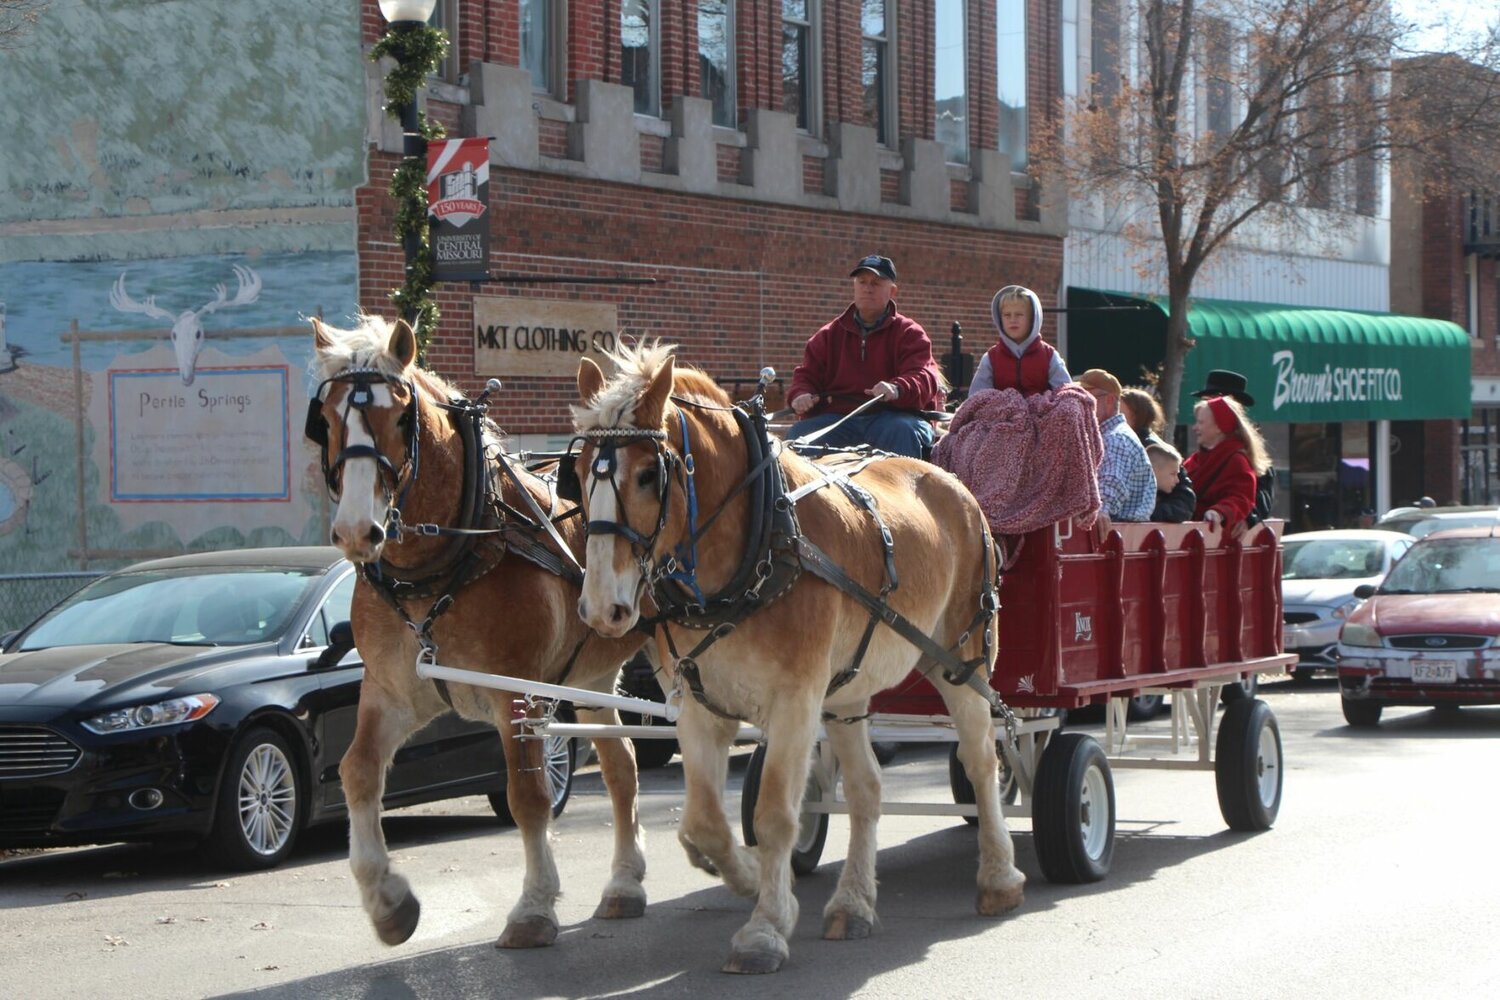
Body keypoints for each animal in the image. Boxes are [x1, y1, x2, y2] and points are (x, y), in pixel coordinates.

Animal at [307, 316, 648, 953]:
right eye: (329, 418)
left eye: (400, 418)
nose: (356, 531)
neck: (453, 556)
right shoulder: (391, 690)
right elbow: (357, 771)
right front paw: (387, 901)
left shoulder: (517, 692)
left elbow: (528, 797)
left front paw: (534, 907)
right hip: (593, 675)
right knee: (622, 767)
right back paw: (624, 884)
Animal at [567, 346, 1026, 977]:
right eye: (581, 470)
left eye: (646, 475)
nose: (600, 608)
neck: (758, 544)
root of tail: (952, 481)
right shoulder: (698, 705)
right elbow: (702, 822)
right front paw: (746, 878)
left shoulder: (795, 701)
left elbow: (774, 813)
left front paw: (763, 927)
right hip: (848, 691)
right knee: (867, 788)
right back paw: (852, 904)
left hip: (962, 659)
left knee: (981, 763)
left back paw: (999, 877)